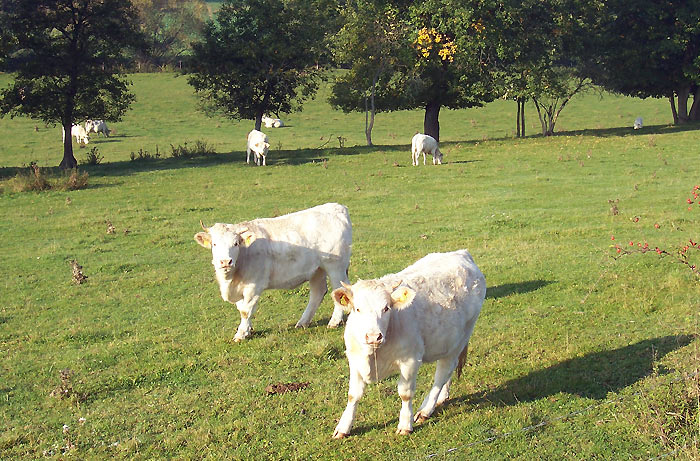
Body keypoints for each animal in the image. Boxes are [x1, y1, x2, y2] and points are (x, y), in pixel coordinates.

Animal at [194, 202, 352, 342]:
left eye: (236, 243)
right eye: (214, 244)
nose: (226, 262)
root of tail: (338, 207)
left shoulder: (253, 286)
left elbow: (246, 310)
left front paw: (240, 334)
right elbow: (241, 308)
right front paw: (248, 330)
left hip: (335, 266)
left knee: (339, 290)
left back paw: (334, 322)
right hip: (317, 270)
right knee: (318, 292)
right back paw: (303, 322)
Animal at [330, 250, 484, 436]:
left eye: (386, 308)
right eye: (357, 309)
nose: (374, 336)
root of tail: (462, 253)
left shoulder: (410, 360)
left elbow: (405, 394)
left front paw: (405, 424)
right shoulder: (354, 360)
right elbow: (353, 395)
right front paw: (343, 427)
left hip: (460, 339)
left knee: (443, 373)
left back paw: (426, 409)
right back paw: (441, 398)